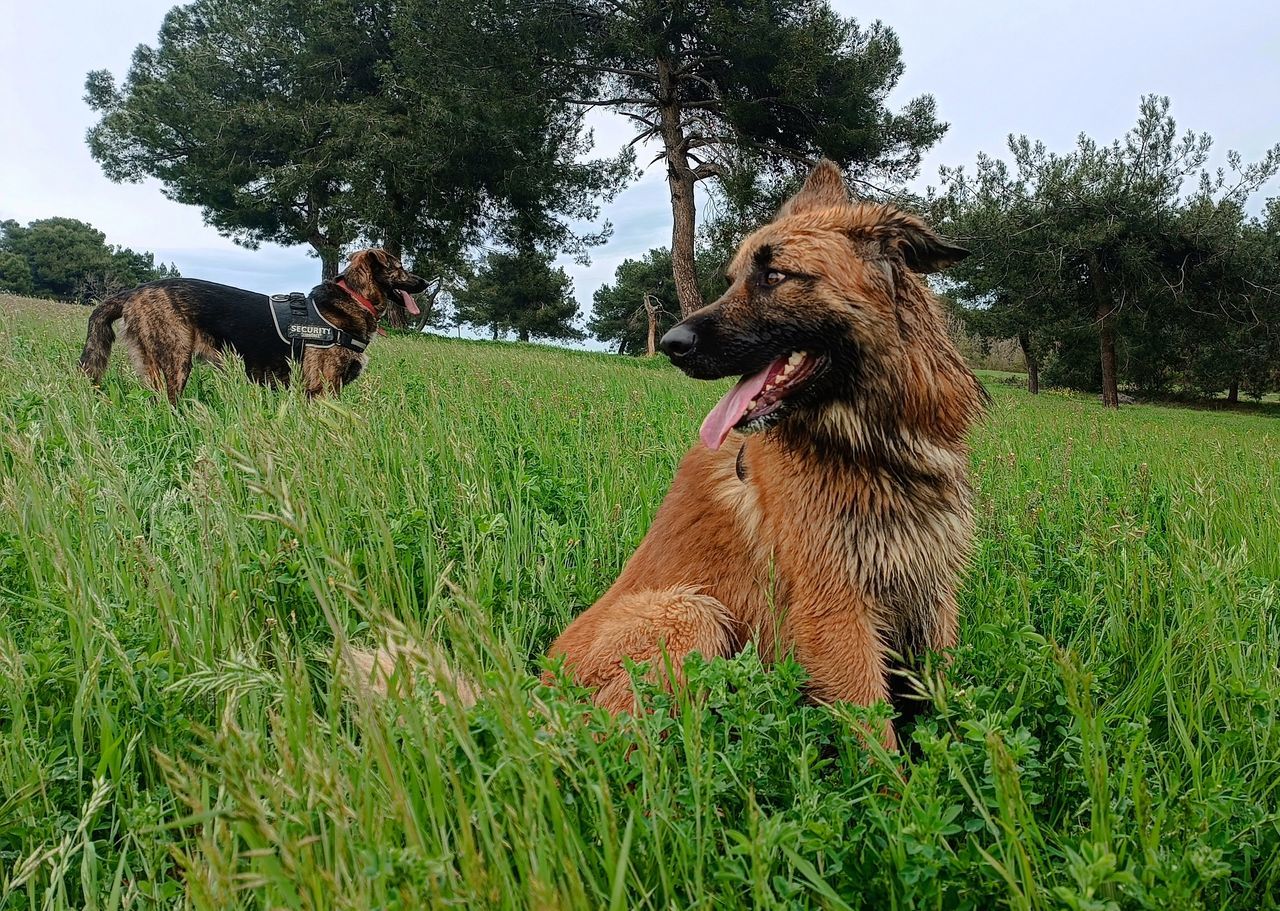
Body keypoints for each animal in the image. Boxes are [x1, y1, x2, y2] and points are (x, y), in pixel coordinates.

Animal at [80, 250, 430, 404]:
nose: (426, 283)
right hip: (175, 362)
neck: (351, 299)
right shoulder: (322, 389)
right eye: (399, 268)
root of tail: (134, 291)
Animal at [355, 161, 983, 747]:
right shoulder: (838, 609)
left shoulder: (932, 596)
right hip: (691, 613)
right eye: (734, 278)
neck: (873, 445)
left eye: (775, 275)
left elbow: (945, 702)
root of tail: (543, 695)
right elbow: (877, 740)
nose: (673, 345)